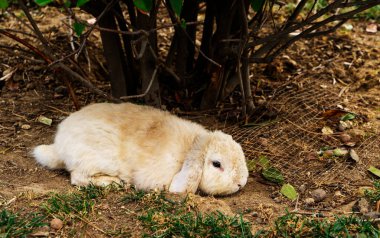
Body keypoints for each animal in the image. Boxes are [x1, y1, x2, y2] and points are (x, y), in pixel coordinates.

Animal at [33, 102, 249, 195]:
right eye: (216, 164)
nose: (241, 183)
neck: (191, 147)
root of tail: (59, 146)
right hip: (97, 160)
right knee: (78, 177)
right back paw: (114, 183)